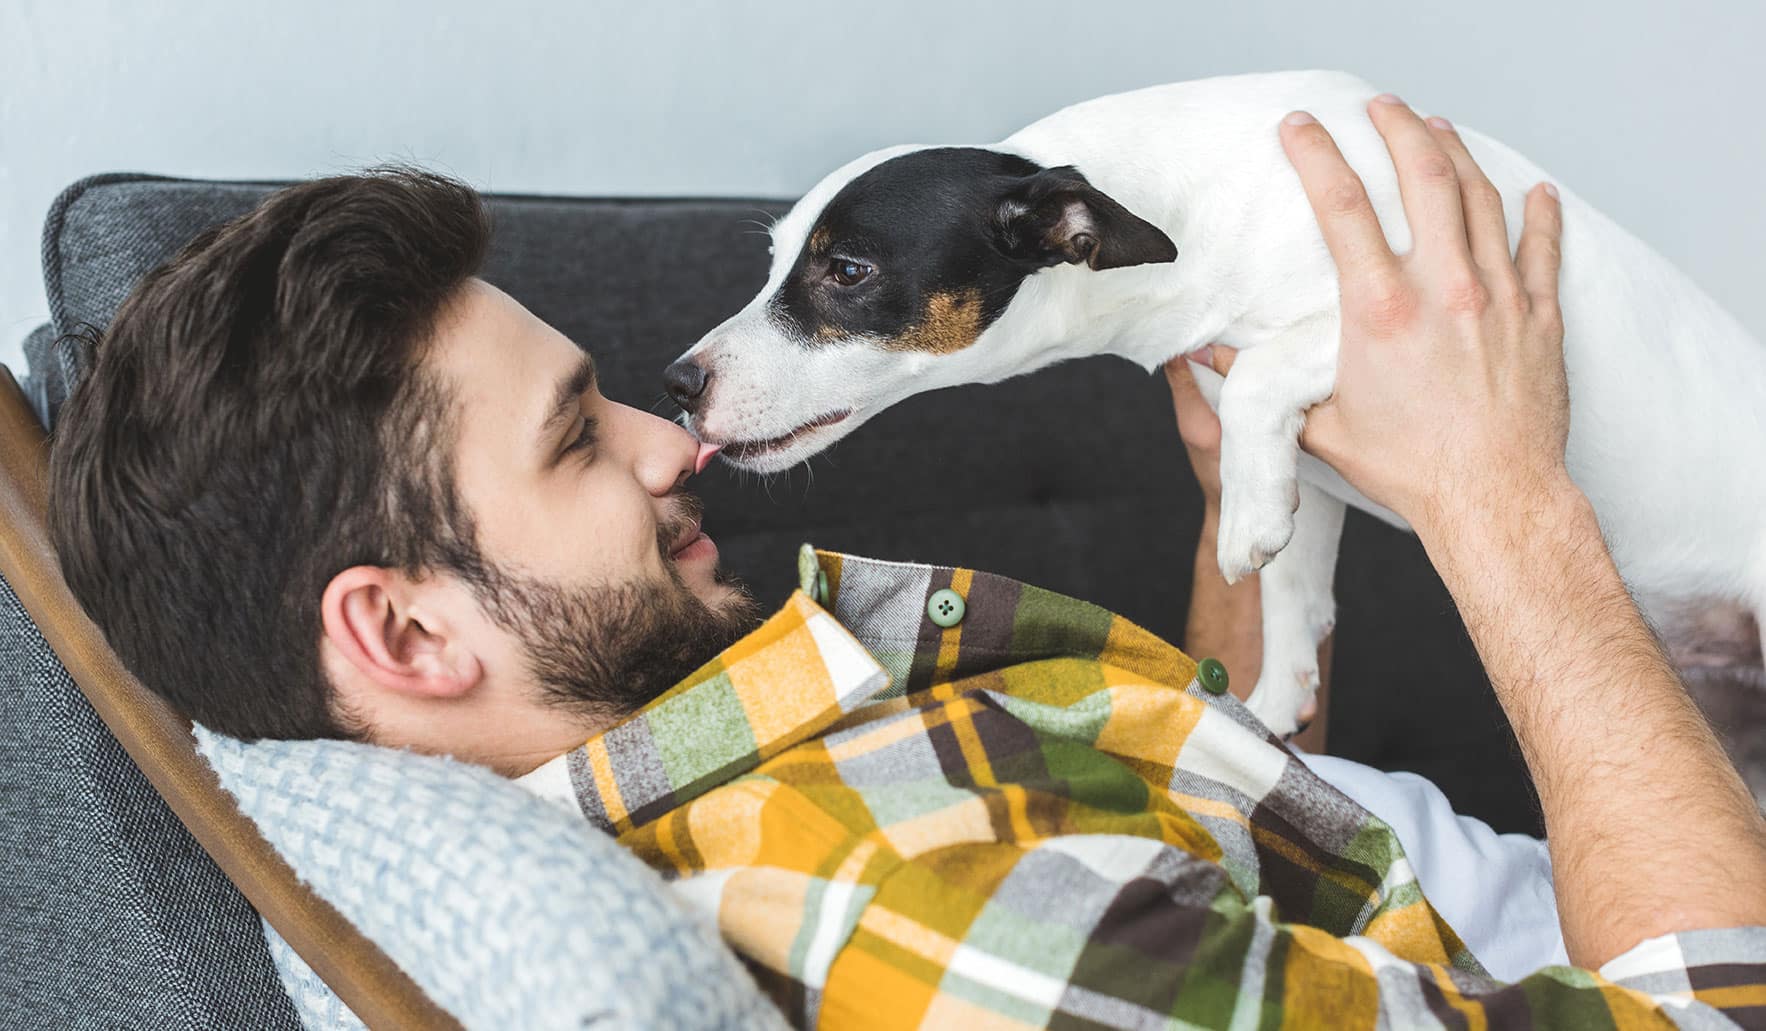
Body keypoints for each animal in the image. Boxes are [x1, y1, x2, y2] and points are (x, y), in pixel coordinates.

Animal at [667, 70, 1766, 734]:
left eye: (847, 271)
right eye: (775, 259)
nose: (676, 383)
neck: (1188, 207)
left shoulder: (1396, 317)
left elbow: (1262, 393)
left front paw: (1245, 522)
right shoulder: (1306, 448)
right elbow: (1296, 582)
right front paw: (1280, 688)